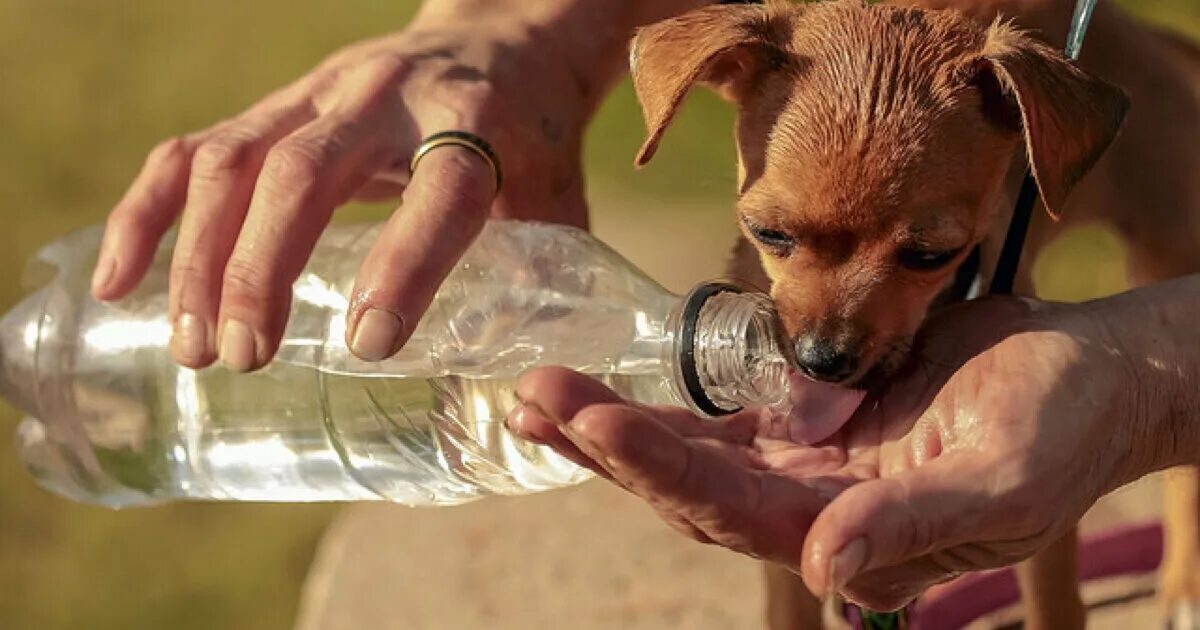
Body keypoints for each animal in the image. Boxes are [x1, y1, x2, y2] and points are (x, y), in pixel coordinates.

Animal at [628, 1, 1200, 628]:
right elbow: (790, 607)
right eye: (767, 233)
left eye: (931, 256)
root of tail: (1146, 35)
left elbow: (1053, 603)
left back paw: (1185, 584)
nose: (821, 360)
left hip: (1171, 245)